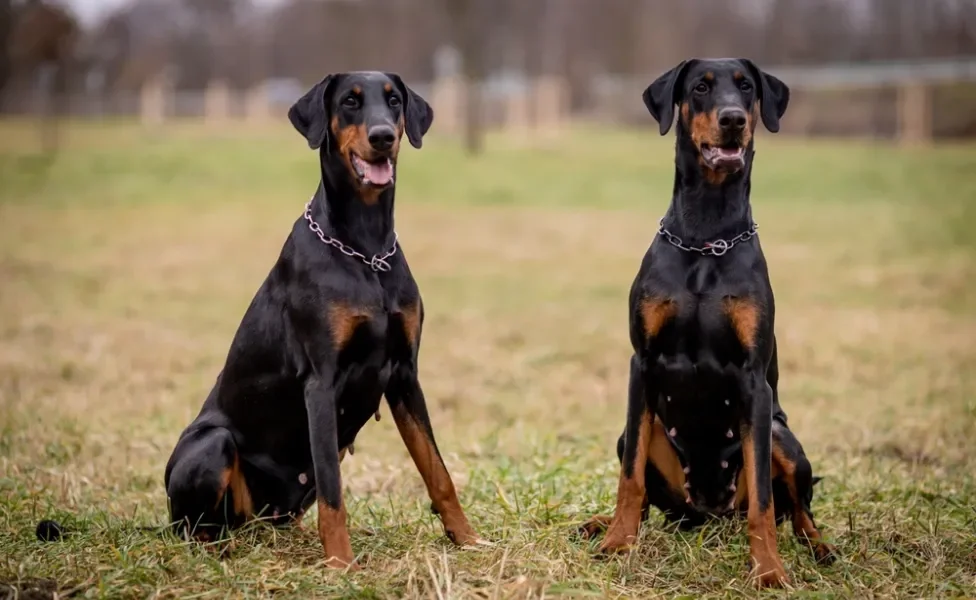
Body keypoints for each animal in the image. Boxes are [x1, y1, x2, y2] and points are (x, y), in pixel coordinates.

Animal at [168, 70, 488, 568]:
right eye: (350, 103)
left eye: (394, 101)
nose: (383, 136)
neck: (366, 250)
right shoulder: (320, 382)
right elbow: (335, 494)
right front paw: (341, 565)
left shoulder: (404, 375)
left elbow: (437, 471)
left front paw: (467, 539)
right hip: (212, 443)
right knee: (193, 526)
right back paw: (217, 549)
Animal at [580, 57, 840, 584]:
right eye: (700, 87)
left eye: (746, 88)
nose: (733, 119)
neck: (706, 238)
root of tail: (708, 513)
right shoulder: (642, 364)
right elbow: (630, 478)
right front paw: (617, 544)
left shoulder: (753, 380)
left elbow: (764, 500)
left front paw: (769, 570)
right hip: (639, 442)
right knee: (650, 501)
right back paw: (600, 524)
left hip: (780, 435)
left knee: (797, 509)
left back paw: (819, 547)